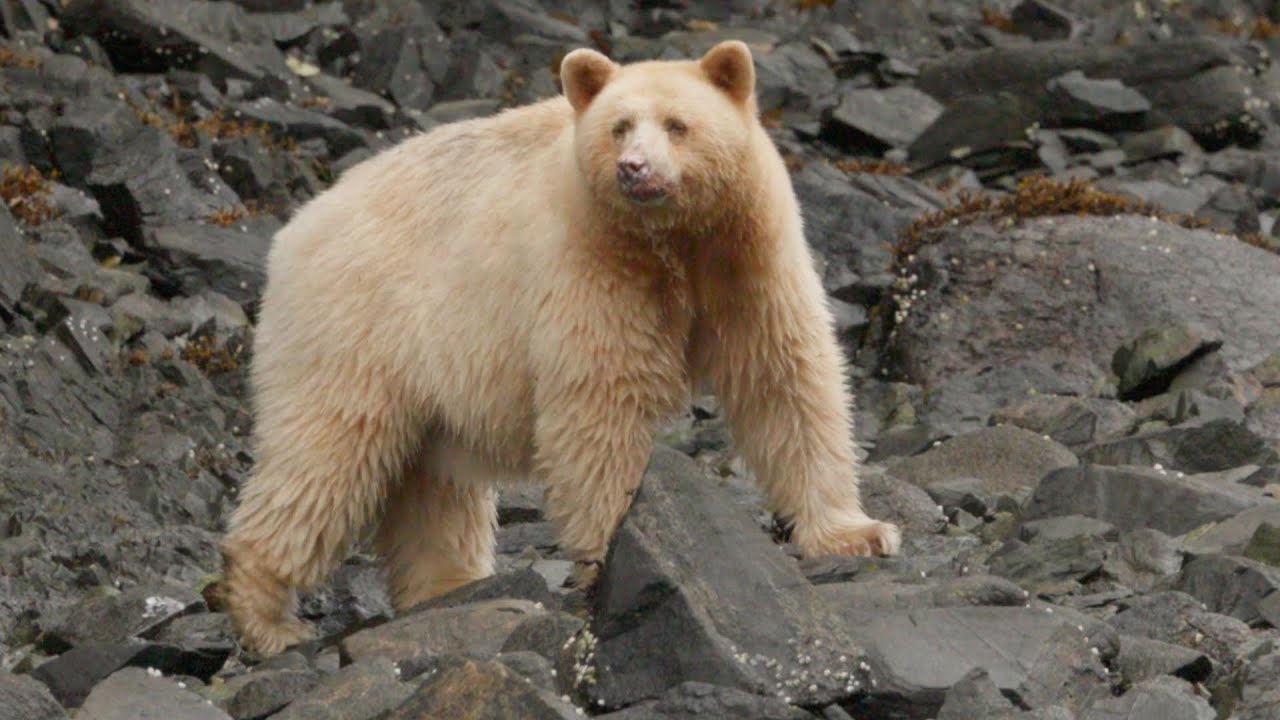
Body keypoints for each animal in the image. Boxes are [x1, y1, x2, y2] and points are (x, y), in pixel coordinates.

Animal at [220, 40, 901, 656]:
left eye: (678, 125)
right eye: (619, 126)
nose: (634, 167)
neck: (673, 241)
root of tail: (295, 229)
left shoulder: (746, 259)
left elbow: (787, 381)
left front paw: (856, 532)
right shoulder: (592, 263)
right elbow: (600, 408)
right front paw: (613, 547)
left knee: (432, 485)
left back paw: (449, 584)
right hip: (356, 329)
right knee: (325, 458)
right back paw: (271, 619)